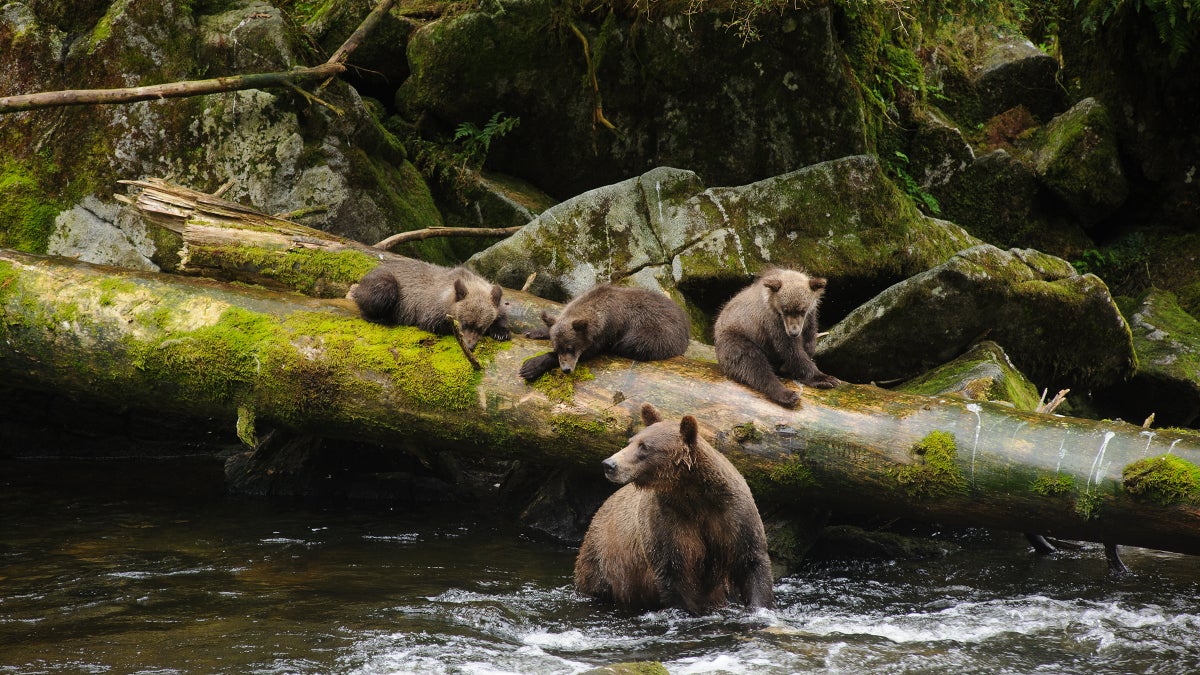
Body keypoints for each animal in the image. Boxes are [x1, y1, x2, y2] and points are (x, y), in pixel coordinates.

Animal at [573, 401, 777, 612]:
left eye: (644, 446)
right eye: (631, 441)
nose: (609, 465)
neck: (692, 493)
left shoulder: (733, 516)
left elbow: (752, 562)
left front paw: (759, 606)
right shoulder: (668, 521)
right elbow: (674, 573)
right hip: (602, 560)